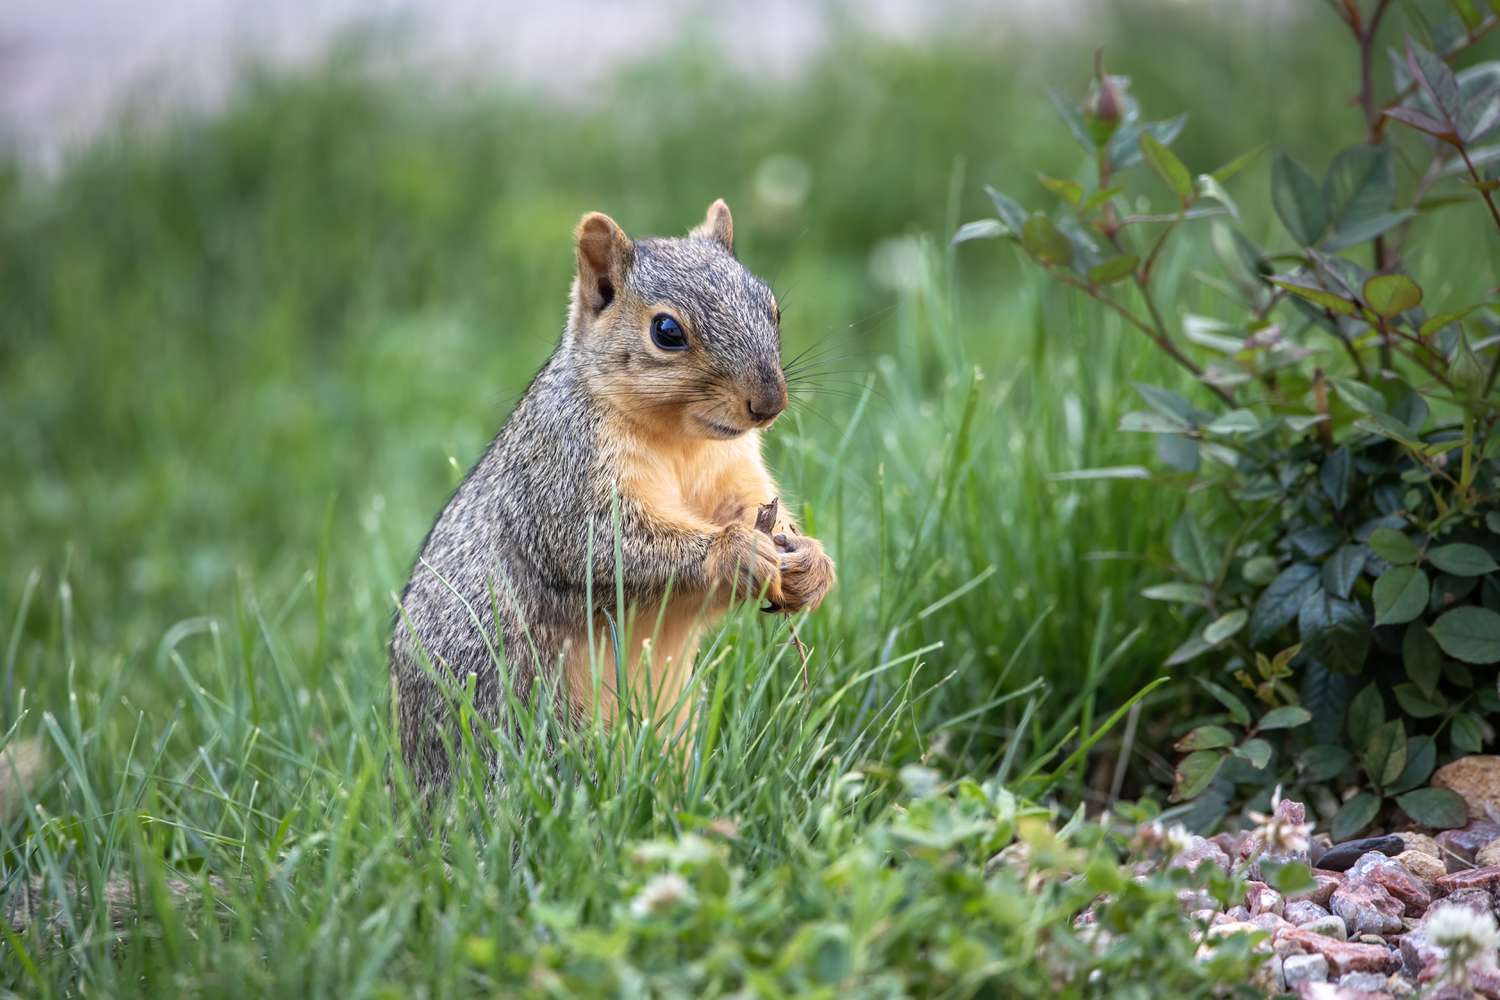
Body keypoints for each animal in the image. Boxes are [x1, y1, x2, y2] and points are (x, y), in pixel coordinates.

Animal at [389, 200, 836, 796]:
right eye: (666, 331)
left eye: (773, 308)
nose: (769, 404)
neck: (681, 441)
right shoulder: (562, 473)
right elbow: (605, 546)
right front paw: (735, 551)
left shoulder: (733, 473)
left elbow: (751, 510)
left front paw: (810, 561)